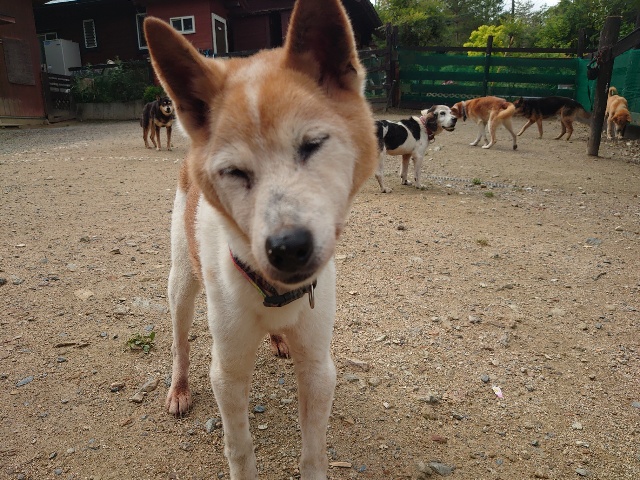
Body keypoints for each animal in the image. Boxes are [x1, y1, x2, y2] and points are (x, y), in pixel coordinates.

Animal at [144, 0, 377, 477]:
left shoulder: (319, 367)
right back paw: (179, 387)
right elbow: (239, 448)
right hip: (181, 283)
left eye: (312, 144)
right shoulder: (228, 372)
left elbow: (313, 451)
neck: (273, 292)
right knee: (179, 342)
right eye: (234, 172)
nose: (288, 248)